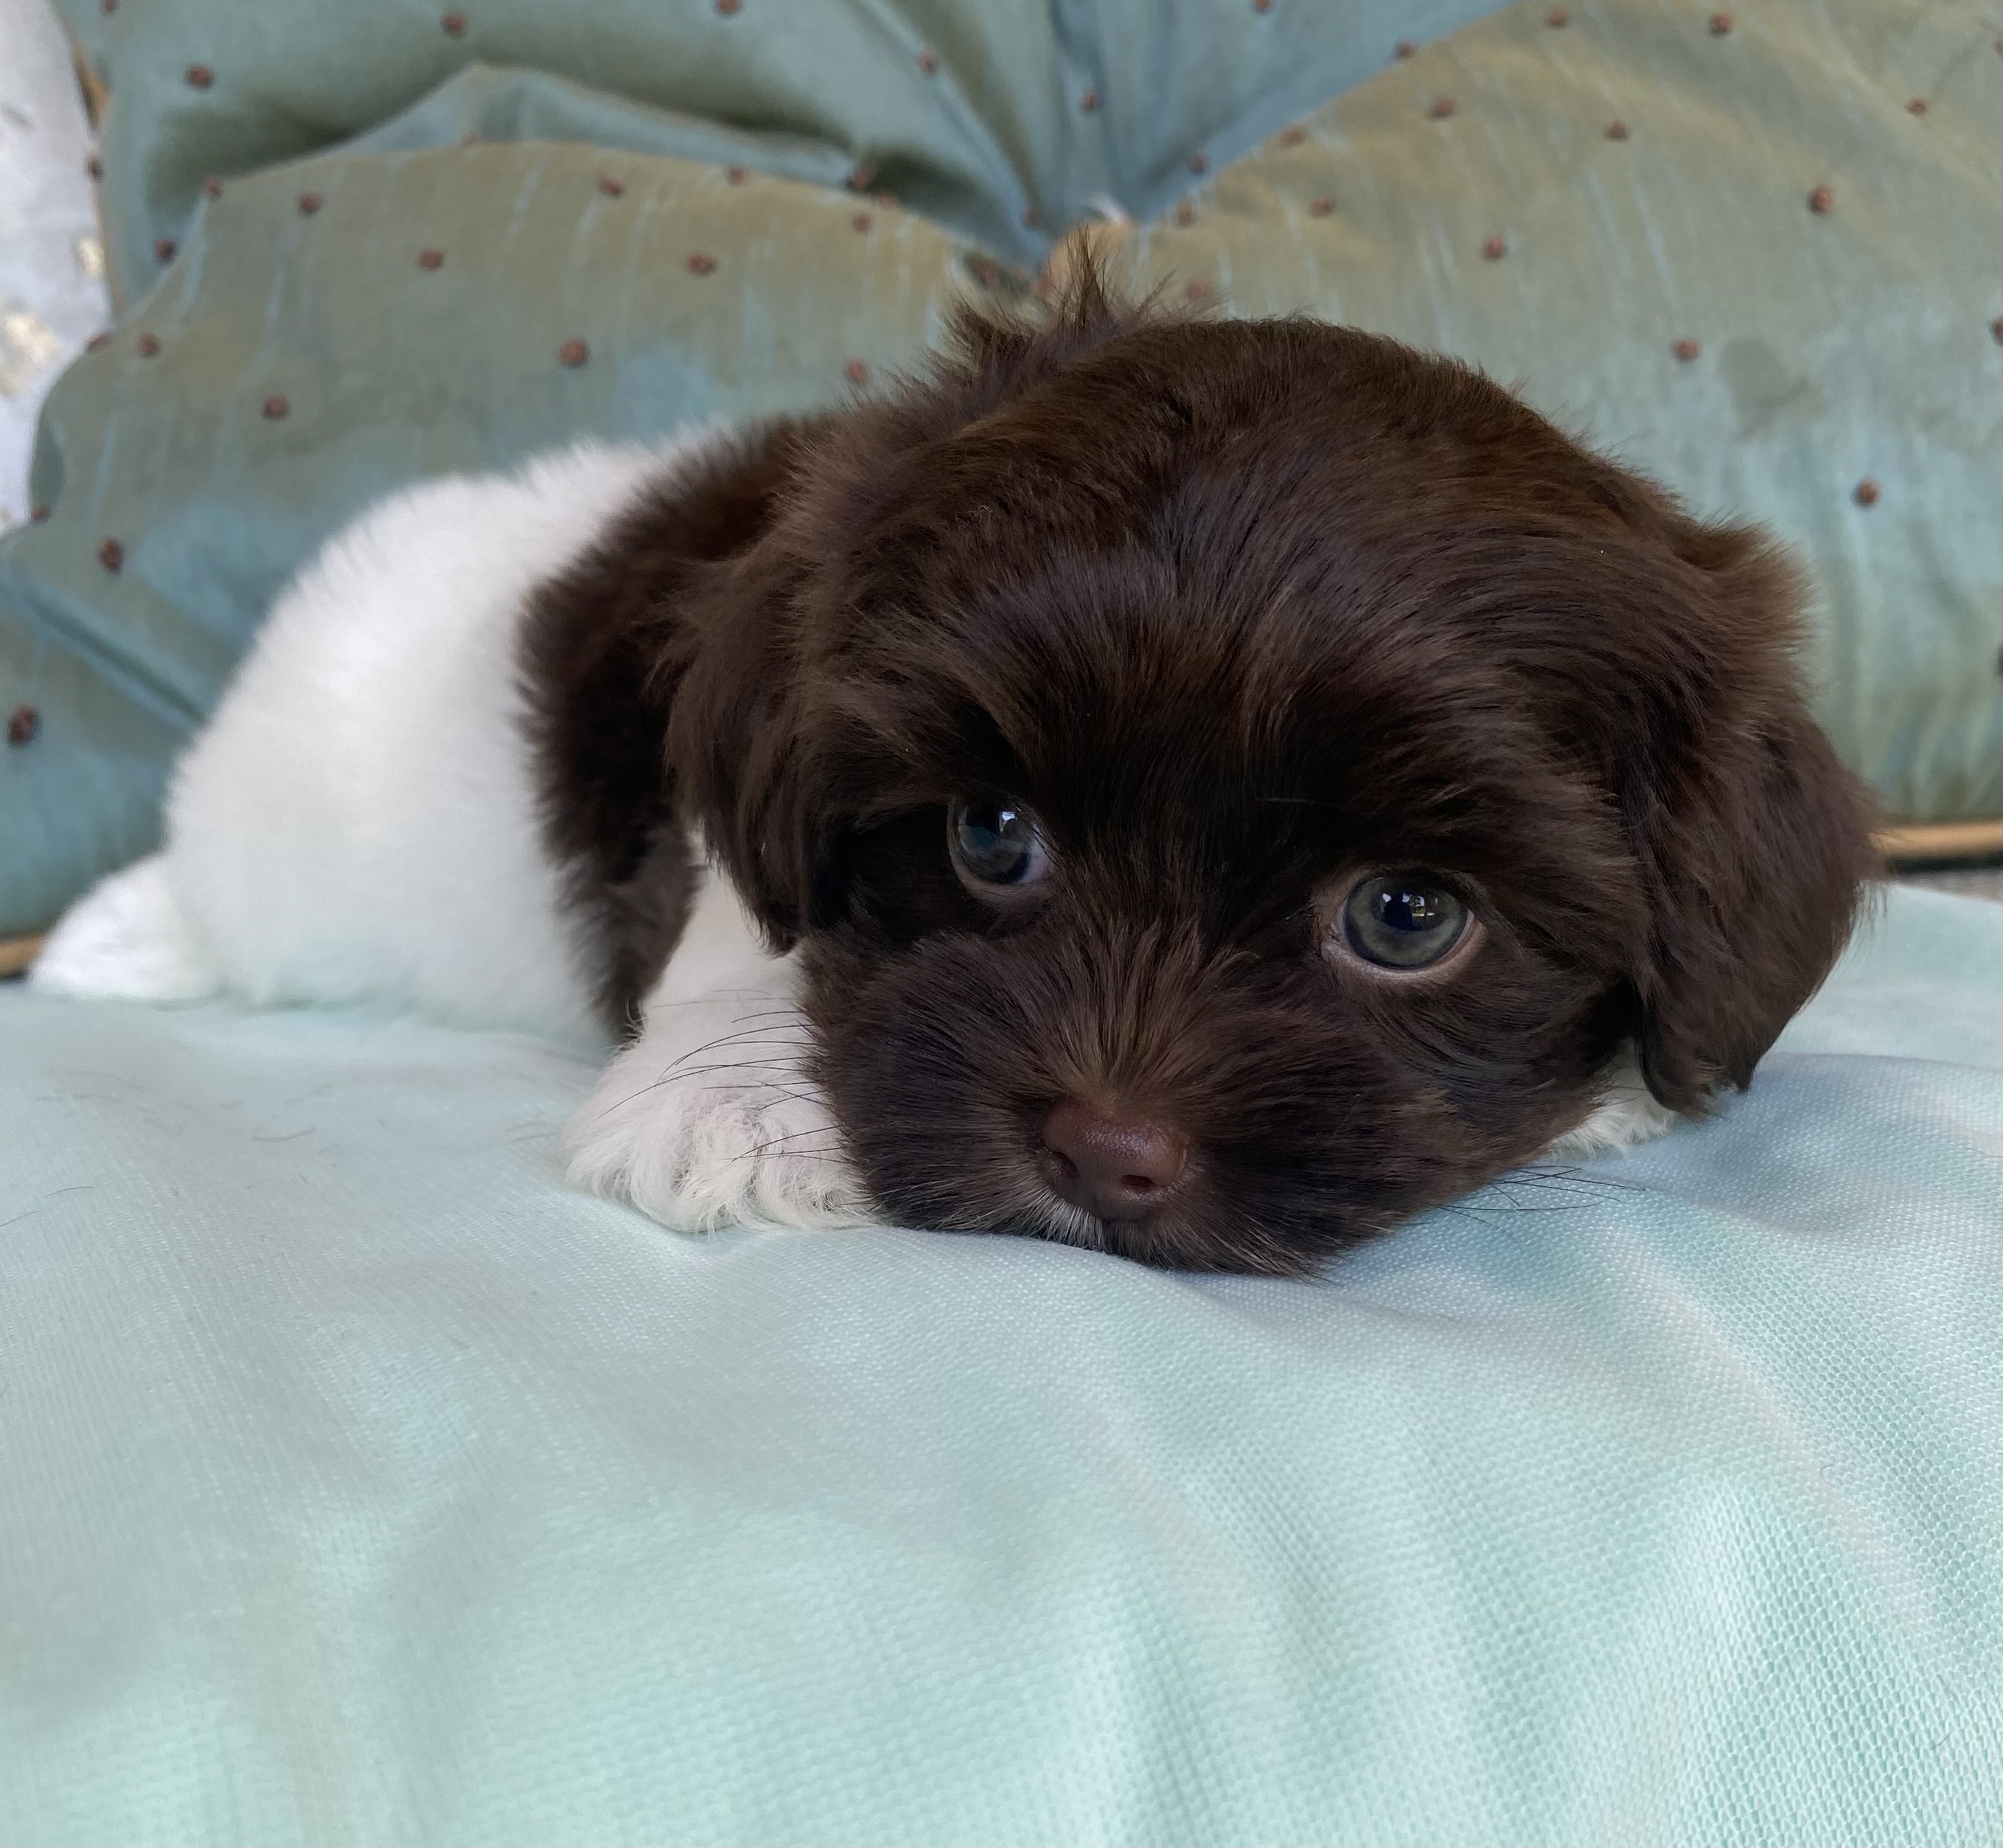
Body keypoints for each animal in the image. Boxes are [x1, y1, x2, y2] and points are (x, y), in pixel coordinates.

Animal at [31, 274, 1875, 1281]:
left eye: (1405, 916)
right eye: (993, 835)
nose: (1107, 1148)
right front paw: (739, 1101)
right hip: (306, 822)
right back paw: (119, 934)